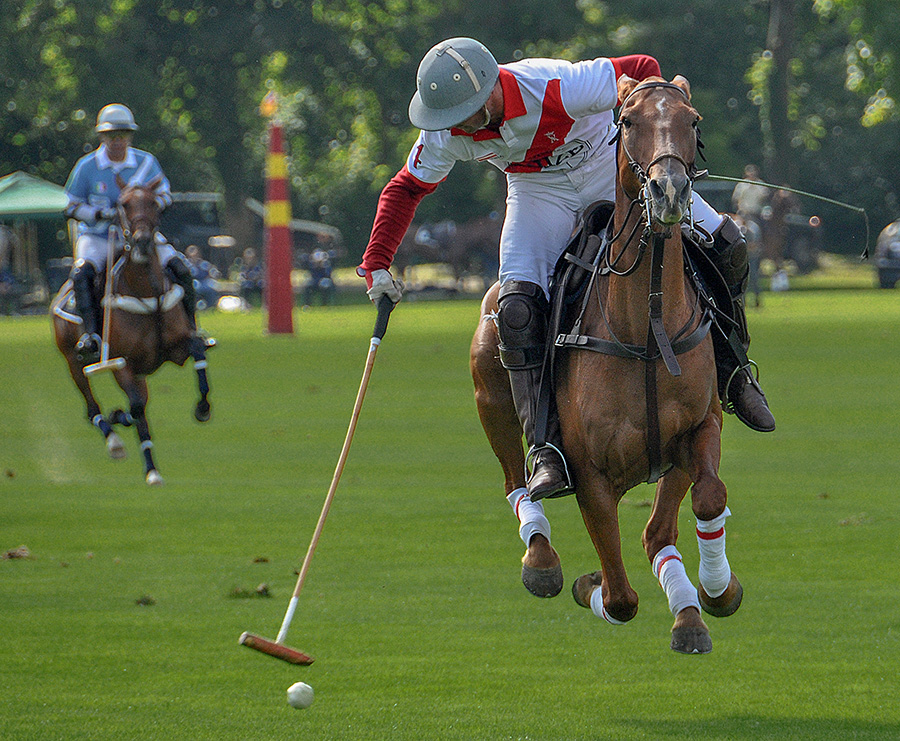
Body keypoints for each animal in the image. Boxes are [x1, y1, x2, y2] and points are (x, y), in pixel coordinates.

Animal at [52, 179, 212, 485]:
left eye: (153, 202)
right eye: (123, 204)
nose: (142, 241)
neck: (147, 293)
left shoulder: (176, 350)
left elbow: (197, 353)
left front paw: (203, 408)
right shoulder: (121, 363)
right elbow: (136, 407)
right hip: (72, 361)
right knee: (93, 408)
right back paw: (117, 443)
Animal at [470, 75, 743, 654]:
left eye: (692, 121)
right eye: (630, 120)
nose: (669, 192)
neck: (645, 330)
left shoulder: (697, 430)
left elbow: (708, 499)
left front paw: (716, 593)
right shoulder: (592, 475)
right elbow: (619, 598)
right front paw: (587, 584)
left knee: (657, 535)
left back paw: (690, 610)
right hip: (491, 395)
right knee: (514, 479)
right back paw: (541, 560)